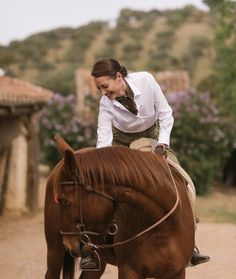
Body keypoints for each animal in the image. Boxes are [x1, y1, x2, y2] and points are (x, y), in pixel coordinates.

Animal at [44, 138, 195, 279]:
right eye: (59, 200)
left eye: (63, 200)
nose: (68, 244)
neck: (162, 225)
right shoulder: (129, 271)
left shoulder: (176, 272)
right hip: (54, 250)